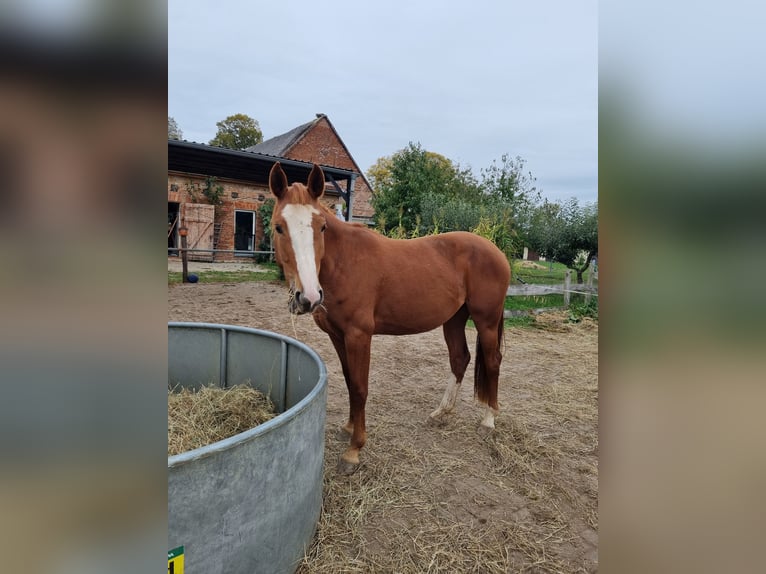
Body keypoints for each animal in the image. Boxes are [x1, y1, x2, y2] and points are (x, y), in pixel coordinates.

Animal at [268, 163, 512, 476]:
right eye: (279, 227)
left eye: (321, 227)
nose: (308, 296)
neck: (343, 263)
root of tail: (495, 251)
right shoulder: (337, 336)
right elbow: (349, 381)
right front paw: (348, 428)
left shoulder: (359, 335)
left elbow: (360, 388)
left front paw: (354, 450)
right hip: (454, 319)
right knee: (460, 358)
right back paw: (441, 413)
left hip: (486, 320)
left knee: (492, 362)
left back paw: (488, 421)